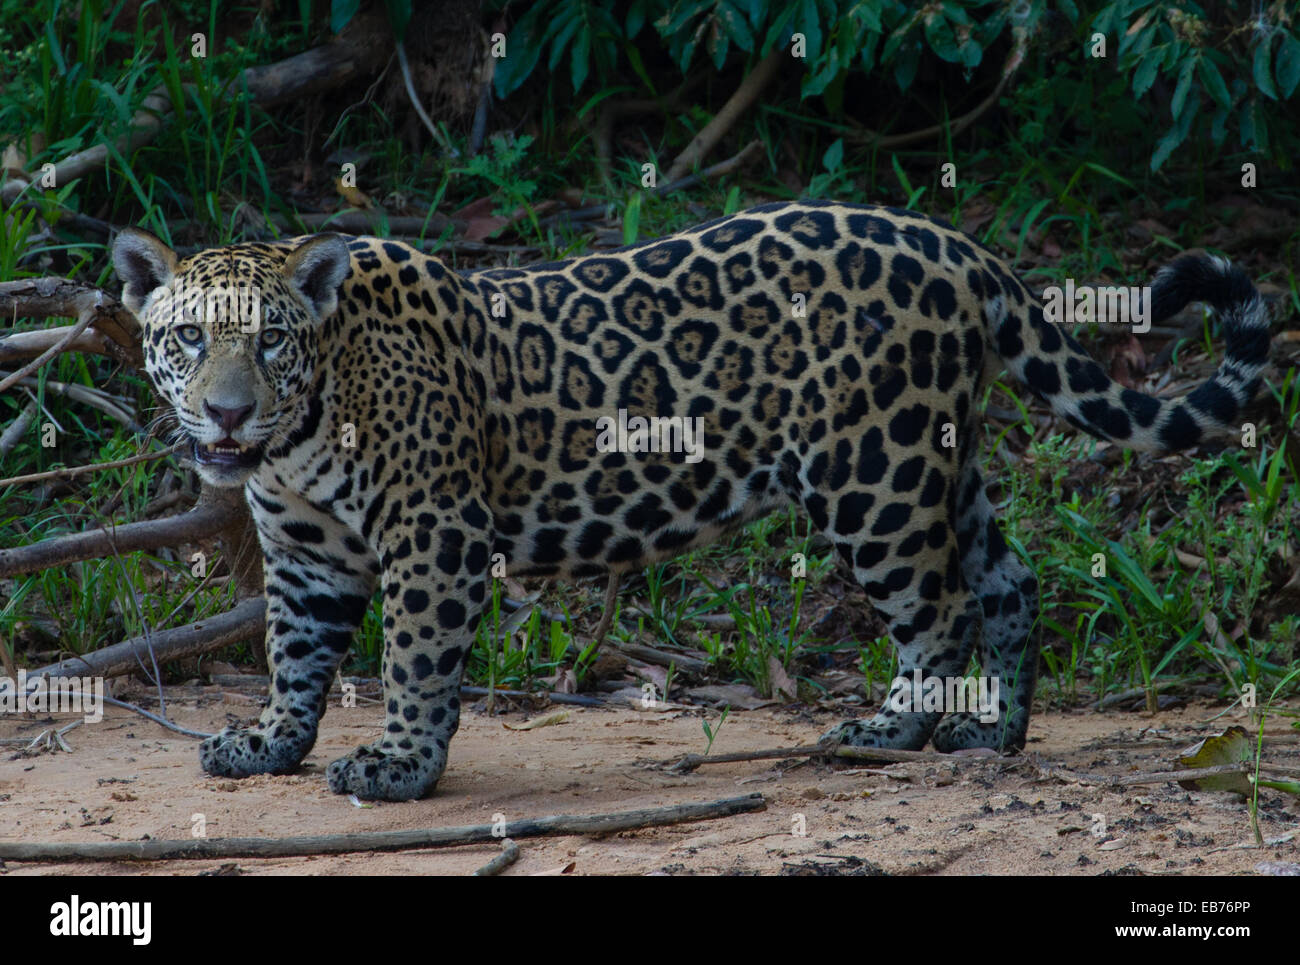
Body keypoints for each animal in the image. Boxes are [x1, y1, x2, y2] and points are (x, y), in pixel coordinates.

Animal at [111, 200, 1269, 801]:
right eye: (187, 337)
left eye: (270, 341)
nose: (225, 415)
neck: (306, 425)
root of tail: (951, 242)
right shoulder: (306, 555)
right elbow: (294, 655)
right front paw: (269, 742)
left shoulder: (433, 533)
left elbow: (414, 660)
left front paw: (398, 765)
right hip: (938, 458)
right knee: (1008, 576)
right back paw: (995, 733)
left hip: (871, 476)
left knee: (935, 609)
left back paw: (892, 730)